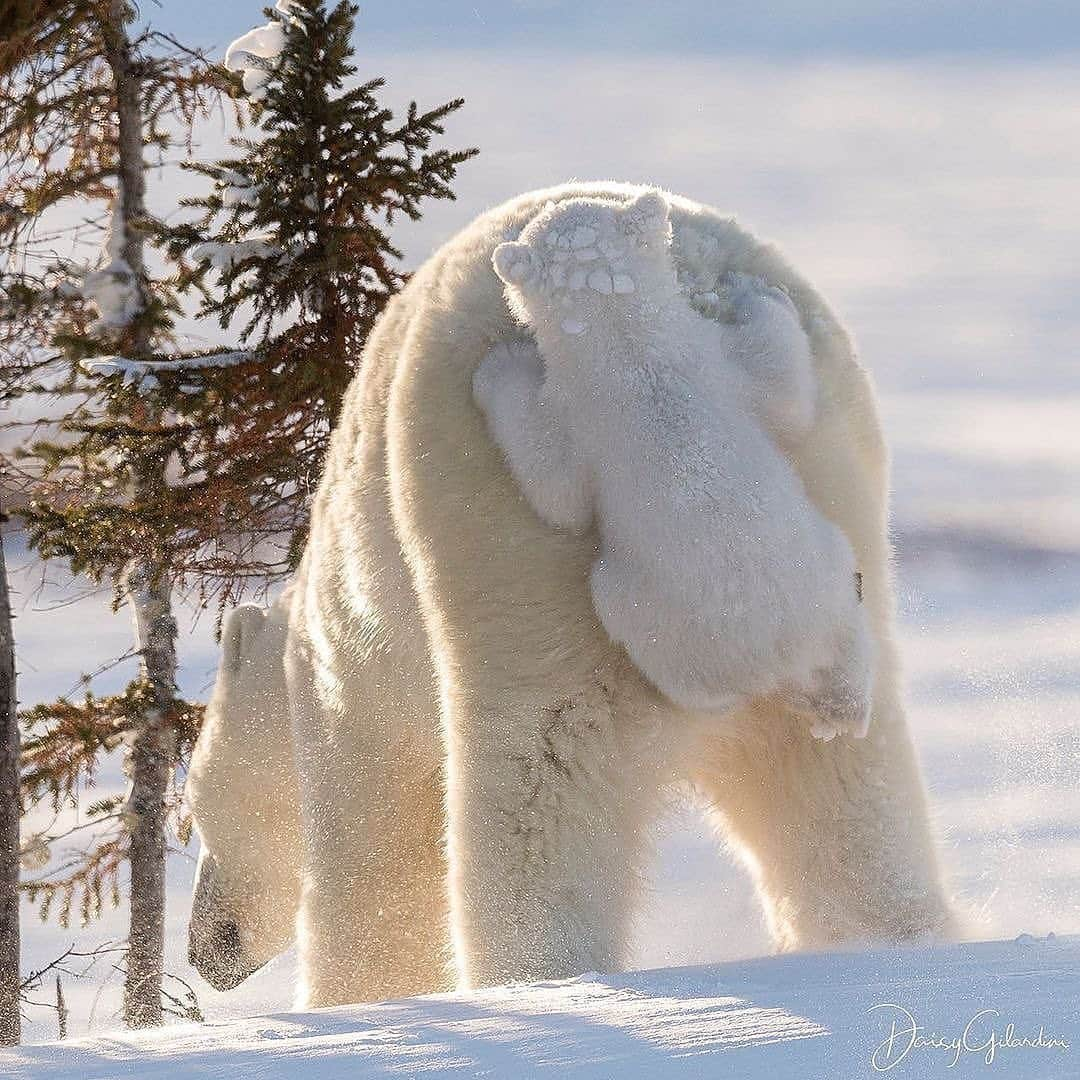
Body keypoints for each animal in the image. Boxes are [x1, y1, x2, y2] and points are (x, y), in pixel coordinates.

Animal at [190, 181, 959, 1006]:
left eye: (190, 812)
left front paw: (356, 1001)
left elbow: (374, 859)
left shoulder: (352, 680)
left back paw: (534, 977)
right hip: (833, 494)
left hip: (505, 549)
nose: (206, 950)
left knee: (537, 785)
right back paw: (891, 939)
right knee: (843, 790)